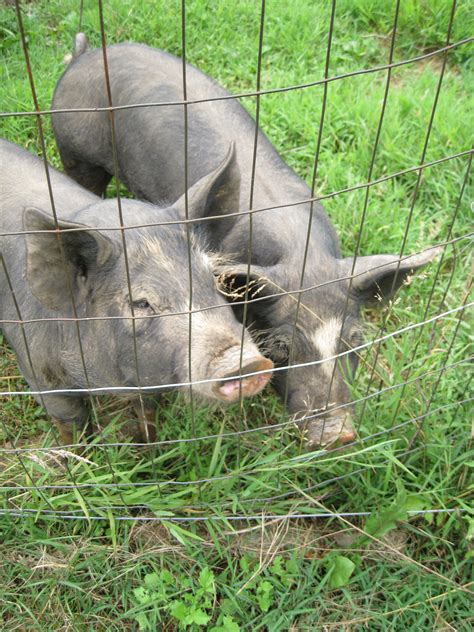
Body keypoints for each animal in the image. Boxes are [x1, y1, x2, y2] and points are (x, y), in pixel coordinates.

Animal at [0, 138, 272, 444]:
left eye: (211, 280)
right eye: (141, 303)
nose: (248, 362)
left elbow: (146, 411)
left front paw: (148, 446)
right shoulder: (39, 373)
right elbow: (72, 424)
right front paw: (79, 453)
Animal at [50, 37, 438, 446]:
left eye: (354, 340)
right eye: (282, 347)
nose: (336, 434)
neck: (304, 257)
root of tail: (88, 55)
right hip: (75, 151)